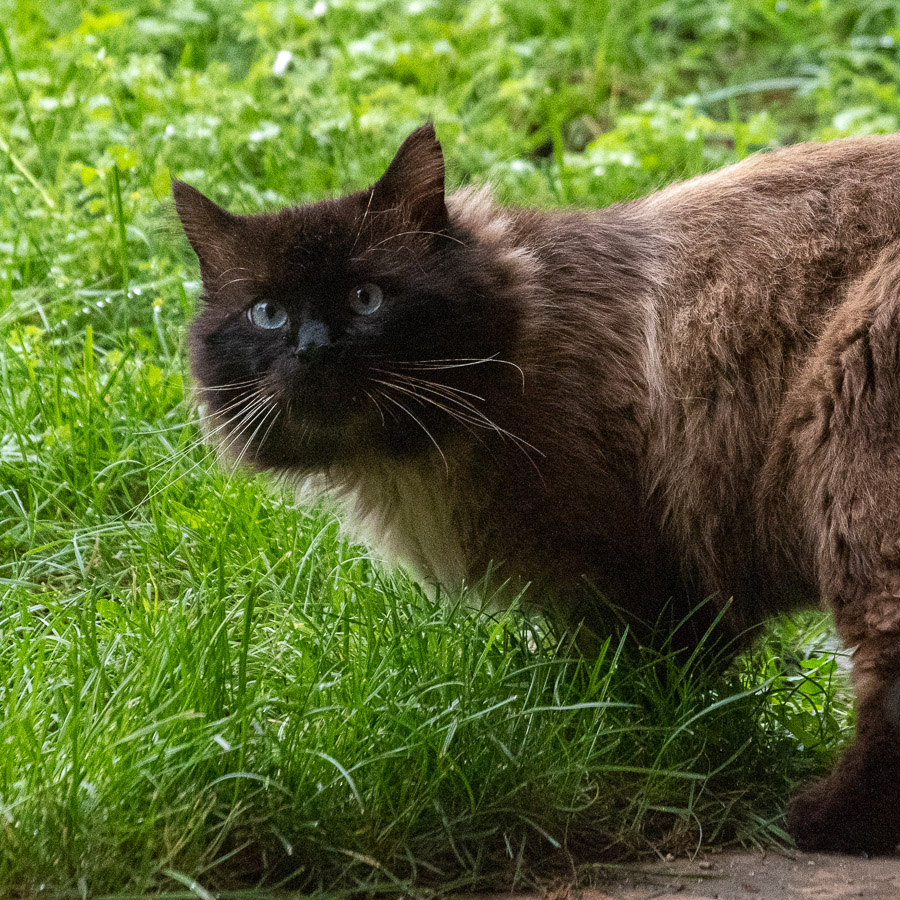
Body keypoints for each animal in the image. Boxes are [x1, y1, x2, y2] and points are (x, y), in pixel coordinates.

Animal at [174, 123, 900, 855]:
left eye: (366, 298)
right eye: (268, 313)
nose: (314, 349)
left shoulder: (643, 579)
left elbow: (635, 695)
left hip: (849, 440)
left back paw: (818, 821)